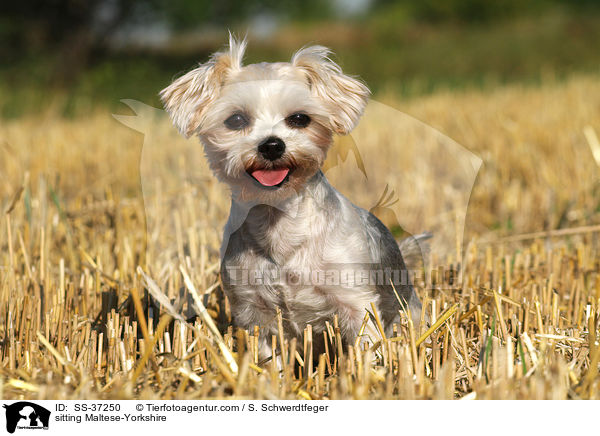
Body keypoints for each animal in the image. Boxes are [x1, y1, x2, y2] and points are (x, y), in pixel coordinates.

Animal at [161, 35, 426, 362]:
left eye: (300, 118)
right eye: (236, 120)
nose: (272, 145)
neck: (279, 225)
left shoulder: (355, 301)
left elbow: (366, 351)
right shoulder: (254, 314)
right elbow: (267, 359)